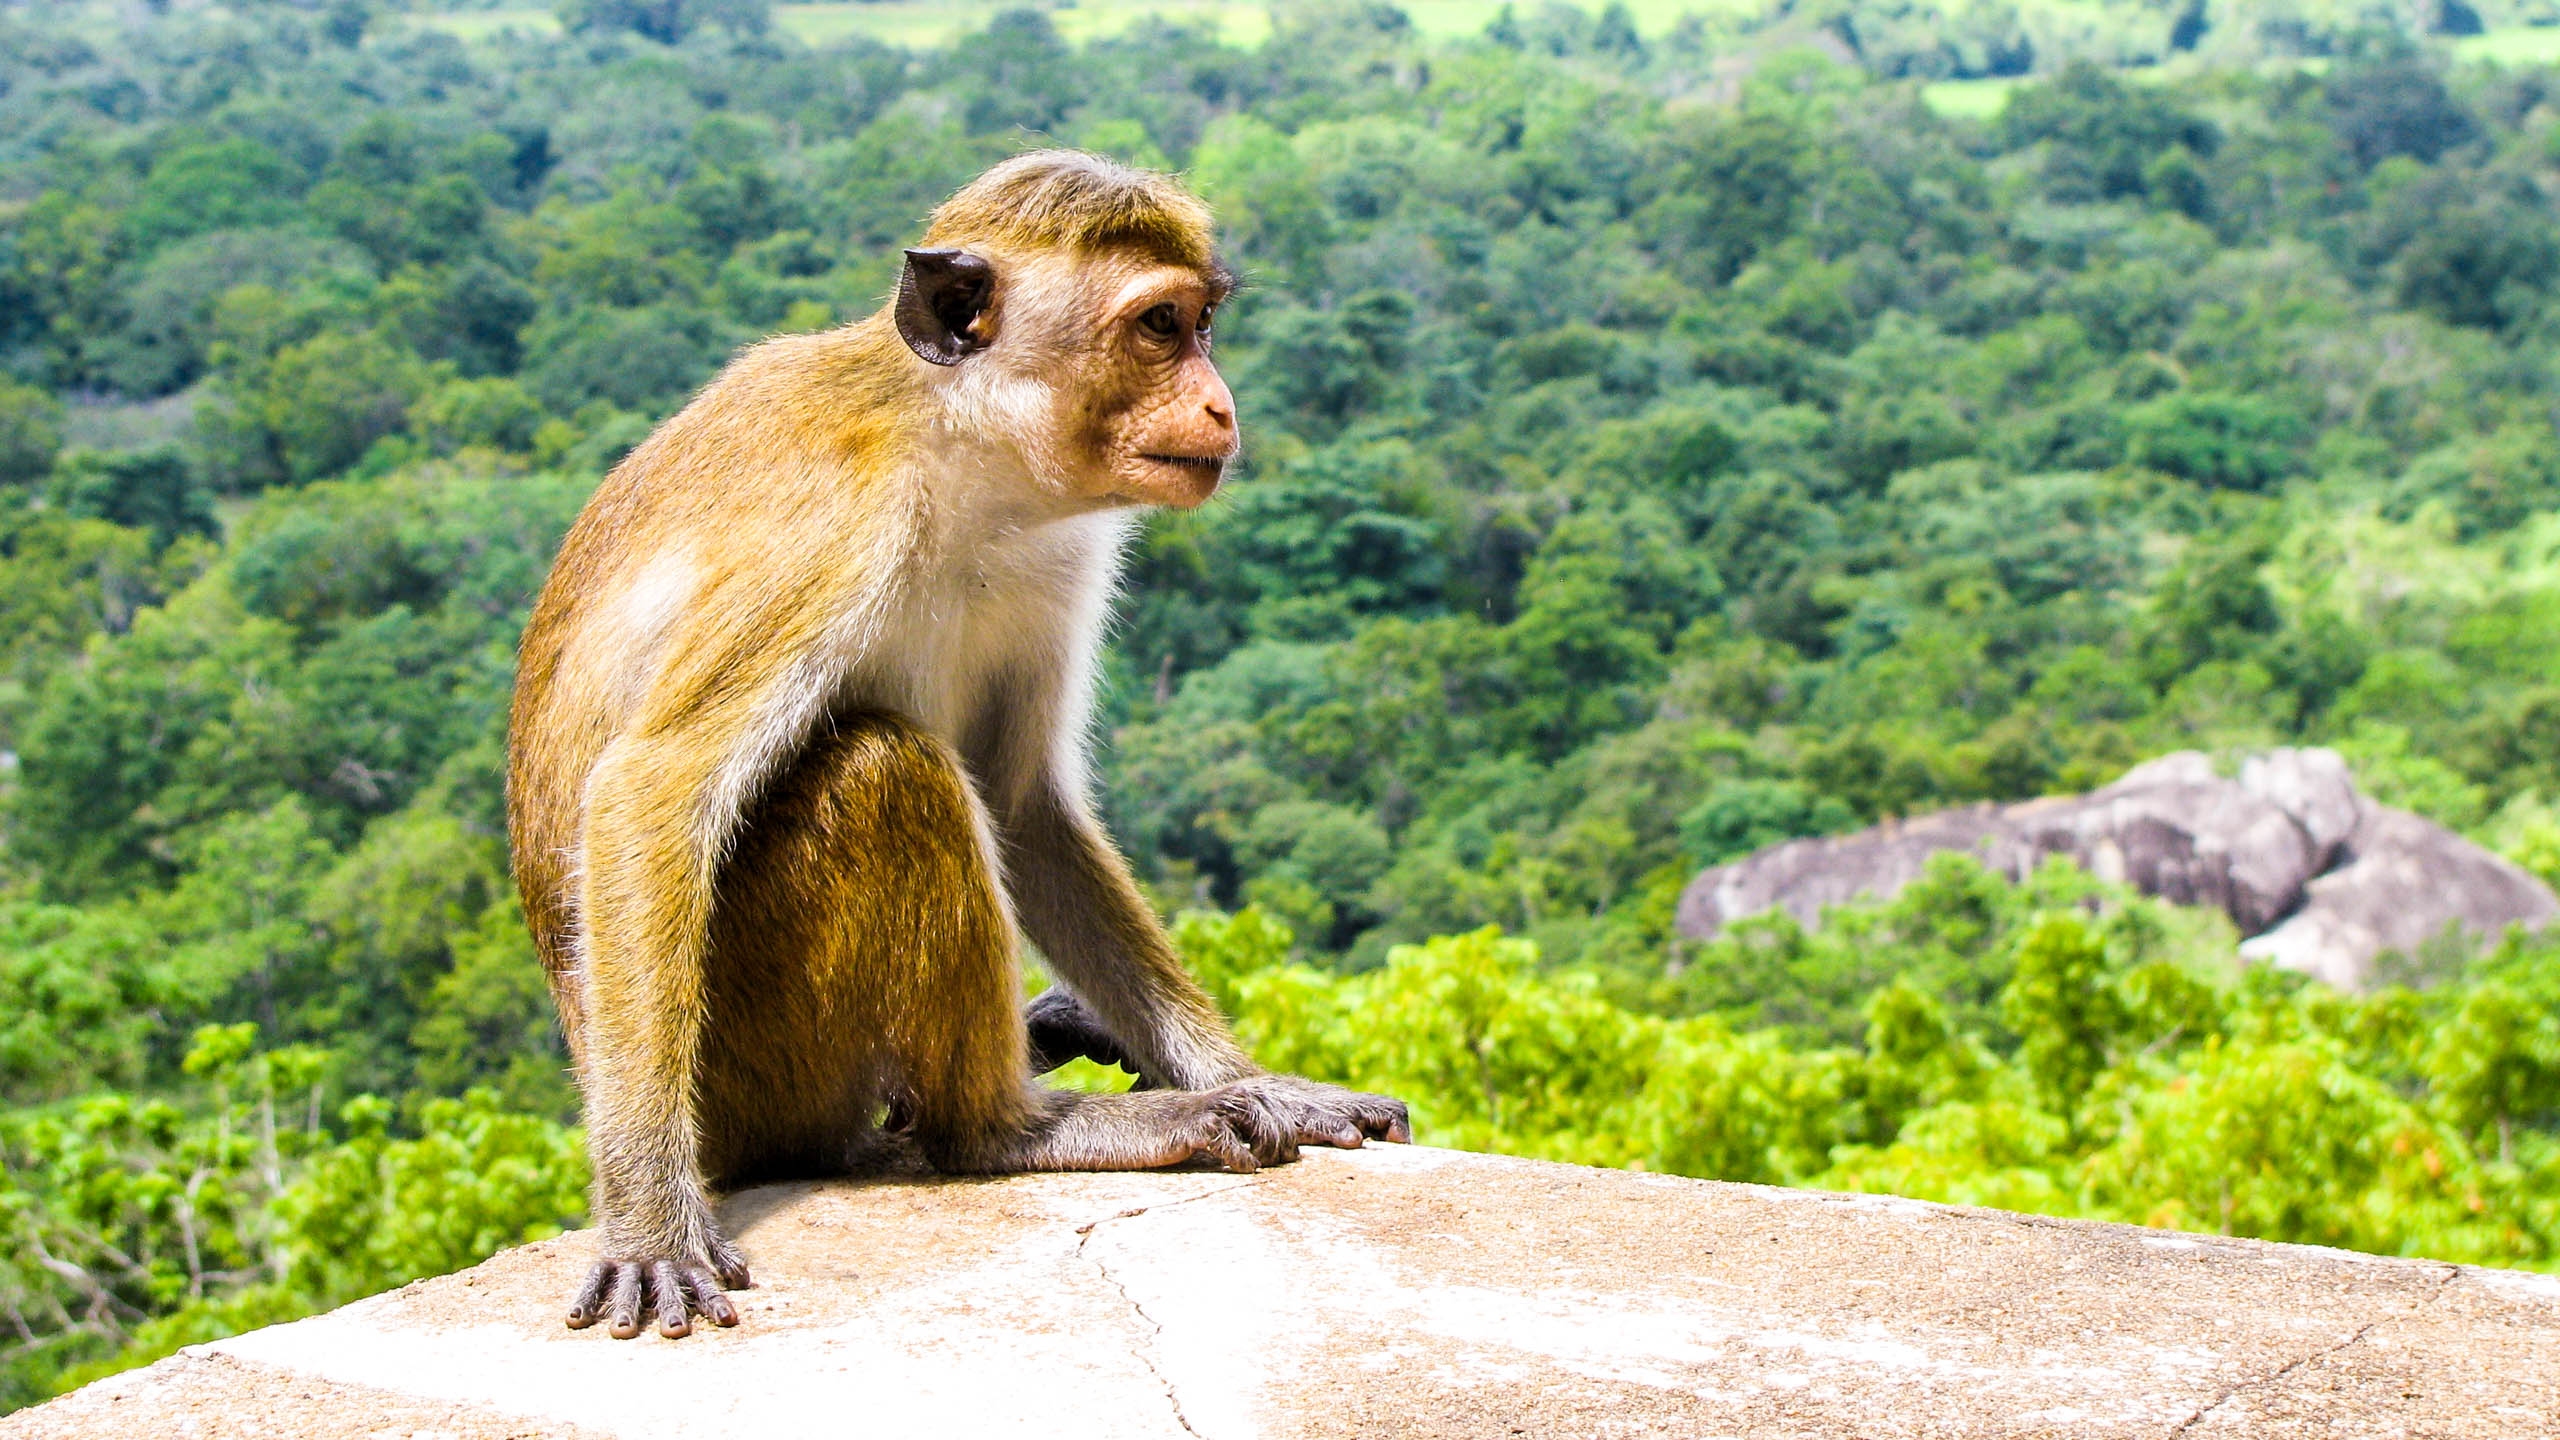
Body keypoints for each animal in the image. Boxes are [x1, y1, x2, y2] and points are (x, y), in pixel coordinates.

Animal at [506, 151, 1413, 1342]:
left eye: (1202, 323)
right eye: (1158, 327)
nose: (1221, 402)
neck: (959, 448)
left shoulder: (1062, 551)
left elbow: (1024, 803)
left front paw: (1270, 1086)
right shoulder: (827, 533)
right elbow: (652, 790)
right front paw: (652, 1222)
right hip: (749, 1066)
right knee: (883, 769)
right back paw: (1006, 1128)